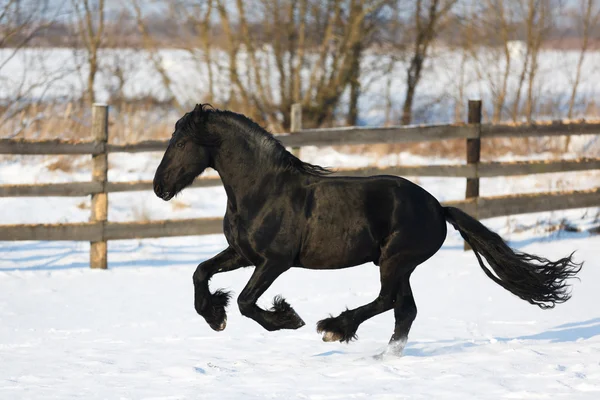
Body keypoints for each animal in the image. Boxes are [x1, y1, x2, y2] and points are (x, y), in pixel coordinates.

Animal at [154, 104, 580, 352]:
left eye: (181, 143)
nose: (159, 188)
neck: (263, 190)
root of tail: (438, 208)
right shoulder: (243, 254)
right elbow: (200, 272)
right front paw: (214, 316)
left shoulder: (274, 261)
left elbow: (245, 301)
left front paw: (287, 318)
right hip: (399, 265)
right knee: (404, 310)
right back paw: (382, 355)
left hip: (395, 260)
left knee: (388, 302)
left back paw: (334, 328)